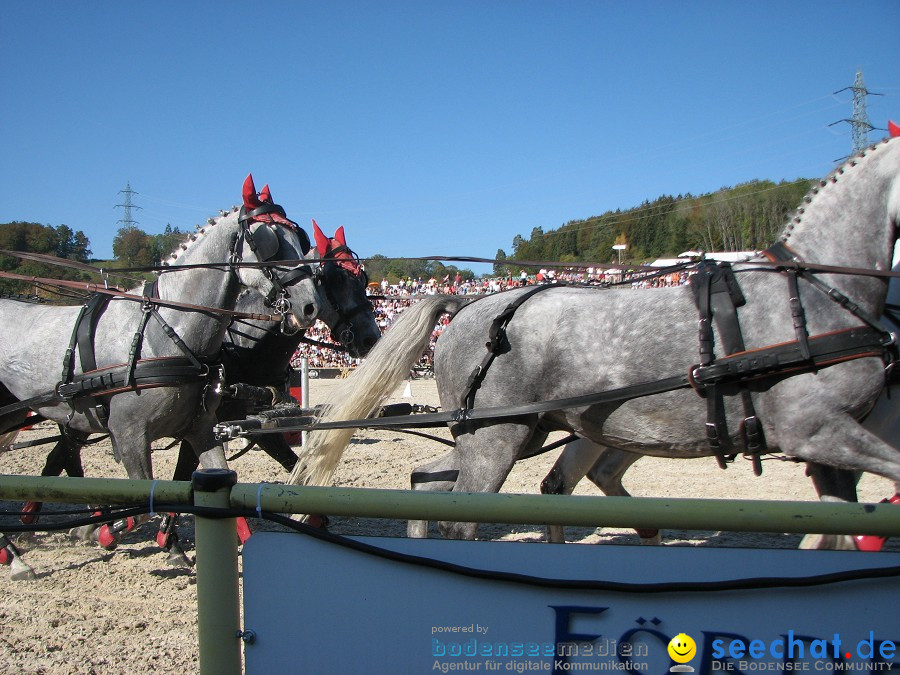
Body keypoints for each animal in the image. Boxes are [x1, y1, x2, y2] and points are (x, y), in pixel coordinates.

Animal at [0, 174, 322, 576]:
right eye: (268, 241)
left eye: (301, 240)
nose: (309, 306)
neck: (164, 332)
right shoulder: (128, 434)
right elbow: (140, 507)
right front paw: (101, 531)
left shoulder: (200, 429)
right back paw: (19, 553)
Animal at [292, 135, 896, 540]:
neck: (814, 295)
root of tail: (469, 305)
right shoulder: (815, 431)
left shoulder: (831, 443)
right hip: (496, 441)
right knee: (465, 515)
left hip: (514, 435)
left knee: (427, 485)